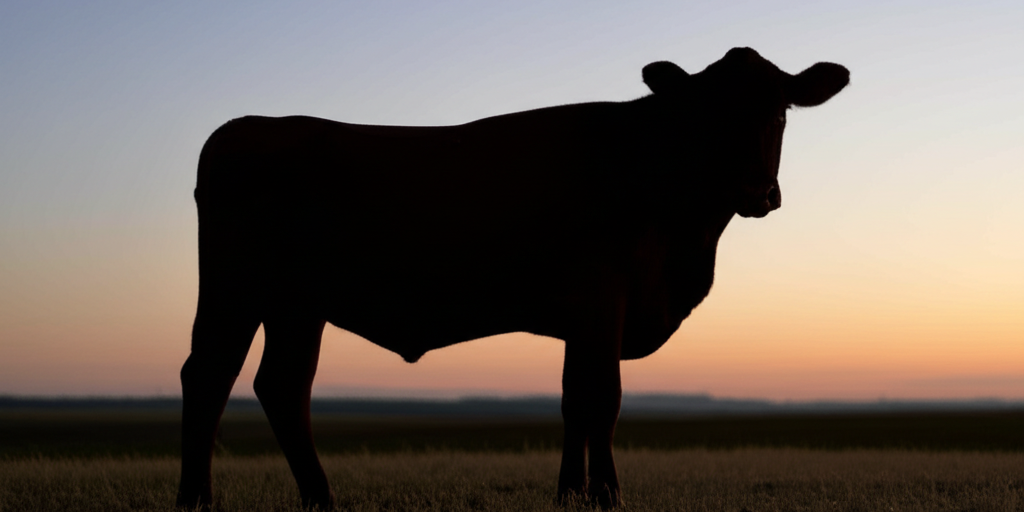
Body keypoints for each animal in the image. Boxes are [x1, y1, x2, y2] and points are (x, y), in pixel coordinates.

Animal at [176, 47, 849, 510]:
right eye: (710, 113)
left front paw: (570, 495)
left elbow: (574, 400)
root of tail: (247, 126)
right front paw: (607, 496)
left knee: (282, 386)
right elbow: (603, 399)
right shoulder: (603, 298)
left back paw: (321, 499)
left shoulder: (586, 317)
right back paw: (198, 500)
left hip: (296, 305)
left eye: (780, 110)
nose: (757, 191)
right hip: (236, 291)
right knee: (209, 376)